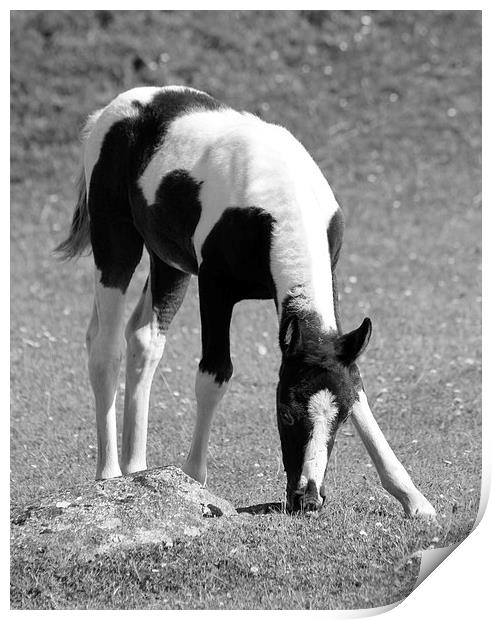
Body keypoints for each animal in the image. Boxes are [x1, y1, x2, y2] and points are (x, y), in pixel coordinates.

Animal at [56, 85, 434, 516]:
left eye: (338, 421)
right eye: (285, 413)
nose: (307, 498)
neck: (280, 202)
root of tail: (115, 108)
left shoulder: (331, 282)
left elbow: (355, 383)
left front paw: (412, 497)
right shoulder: (214, 287)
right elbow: (214, 374)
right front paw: (194, 481)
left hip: (169, 262)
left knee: (144, 339)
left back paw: (137, 470)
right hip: (116, 243)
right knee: (106, 347)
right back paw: (110, 475)